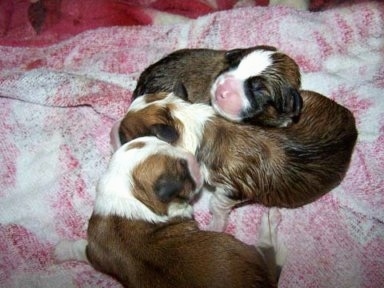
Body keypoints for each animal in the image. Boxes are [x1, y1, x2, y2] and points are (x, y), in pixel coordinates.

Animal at [54, 137, 280, 288]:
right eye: (183, 170)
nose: (193, 157)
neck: (132, 194)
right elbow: (79, 248)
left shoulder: (95, 250)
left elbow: (82, 248)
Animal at [113, 89, 356, 231]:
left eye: (125, 136)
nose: (111, 130)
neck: (192, 124)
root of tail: (353, 126)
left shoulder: (234, 187)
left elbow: (217, 203)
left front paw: (215, 224)